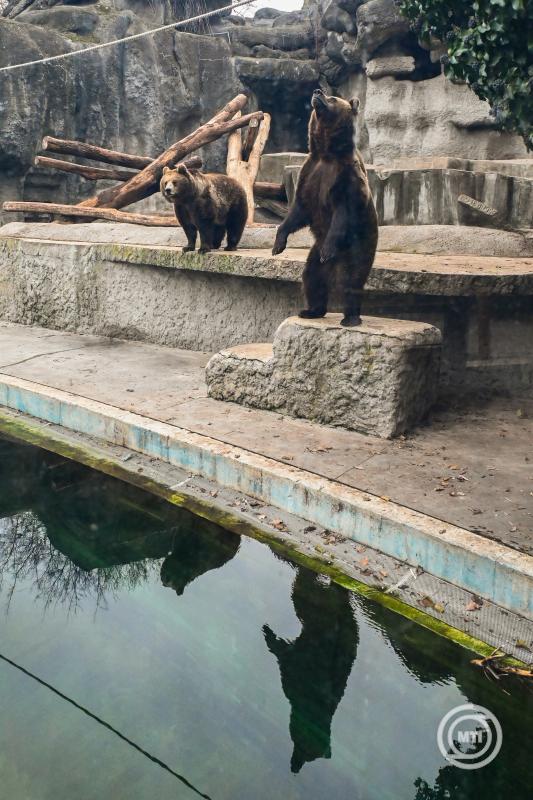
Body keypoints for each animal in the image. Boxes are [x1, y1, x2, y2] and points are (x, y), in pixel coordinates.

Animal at [270, 87, 378, 324]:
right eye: (327, 94)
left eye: (333, 98)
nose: (317, 92)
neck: (327, 153)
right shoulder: (310, 173)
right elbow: (298, 211)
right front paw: (278, 245)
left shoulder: (346, 177)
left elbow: (343, 212)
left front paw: (328, 250)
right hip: (315, 253)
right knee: (312, 276)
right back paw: (311, 310)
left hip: (358, 245)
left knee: (352, 279)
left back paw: (351, 317)